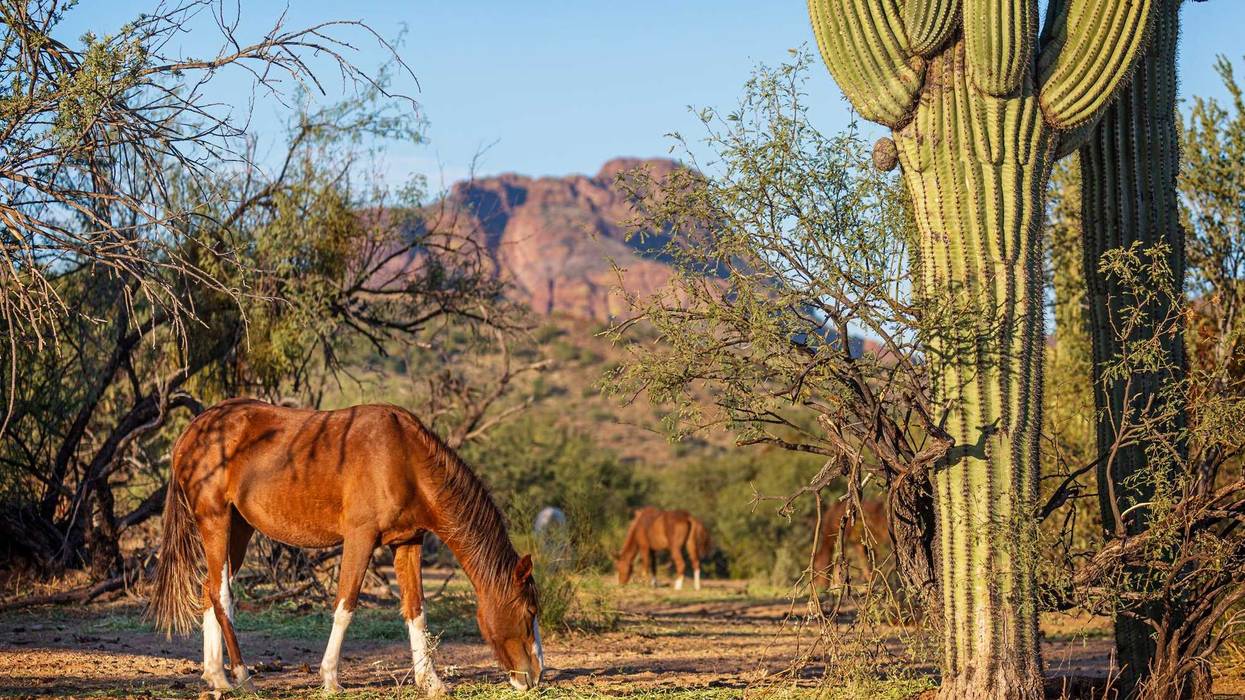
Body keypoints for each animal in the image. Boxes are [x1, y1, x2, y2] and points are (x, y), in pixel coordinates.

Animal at [147, 399, 543, 695]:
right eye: (529, 612)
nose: (536, 675)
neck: (404, 458)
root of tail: (193, 430)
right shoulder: (360, 538)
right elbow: (346, 605)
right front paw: (330, 678)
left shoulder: (407, 542)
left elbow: (415, 610)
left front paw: (430, 681)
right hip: (215, 521)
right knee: (222, 595)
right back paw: (243, 677)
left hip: (238, 529)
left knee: (209, 589)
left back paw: (217, 677)